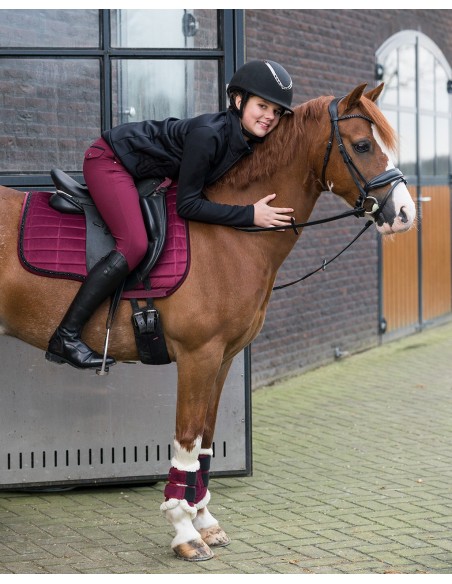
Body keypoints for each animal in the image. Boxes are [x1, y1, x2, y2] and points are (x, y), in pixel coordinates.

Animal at [0, 83, 416, 560]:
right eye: (363, 145)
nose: (405, 214)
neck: (228, 237)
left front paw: (204, 520)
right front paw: (184, 531)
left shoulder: (222, 359)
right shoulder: (197, 358)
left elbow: (204, 443)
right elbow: (186, 441)